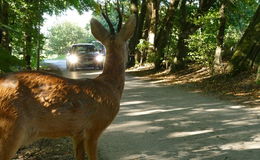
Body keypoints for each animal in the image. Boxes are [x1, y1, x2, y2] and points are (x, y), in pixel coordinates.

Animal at [0, 15, 137, 160]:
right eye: (127, 44)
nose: (132, 55)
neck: (110, 86)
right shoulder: (94, 127)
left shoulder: (77, 133)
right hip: (11, 126)